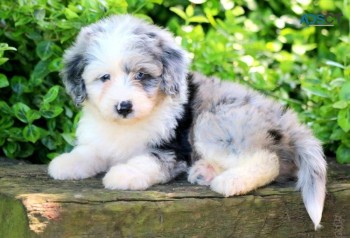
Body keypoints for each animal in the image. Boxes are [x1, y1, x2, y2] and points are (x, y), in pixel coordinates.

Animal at [47, 13, 326, 230]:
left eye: (141, 75)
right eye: (105, 77)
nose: (124, 106)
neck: (128, 125)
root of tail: (285, 119)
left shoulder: (173, 149)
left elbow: (148, 160)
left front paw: (124, 173)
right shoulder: (100, 140)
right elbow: (89, 151)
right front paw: (66, 163)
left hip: (216, 123)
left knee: (267, 160)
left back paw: (229, 181)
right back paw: (206, 171)